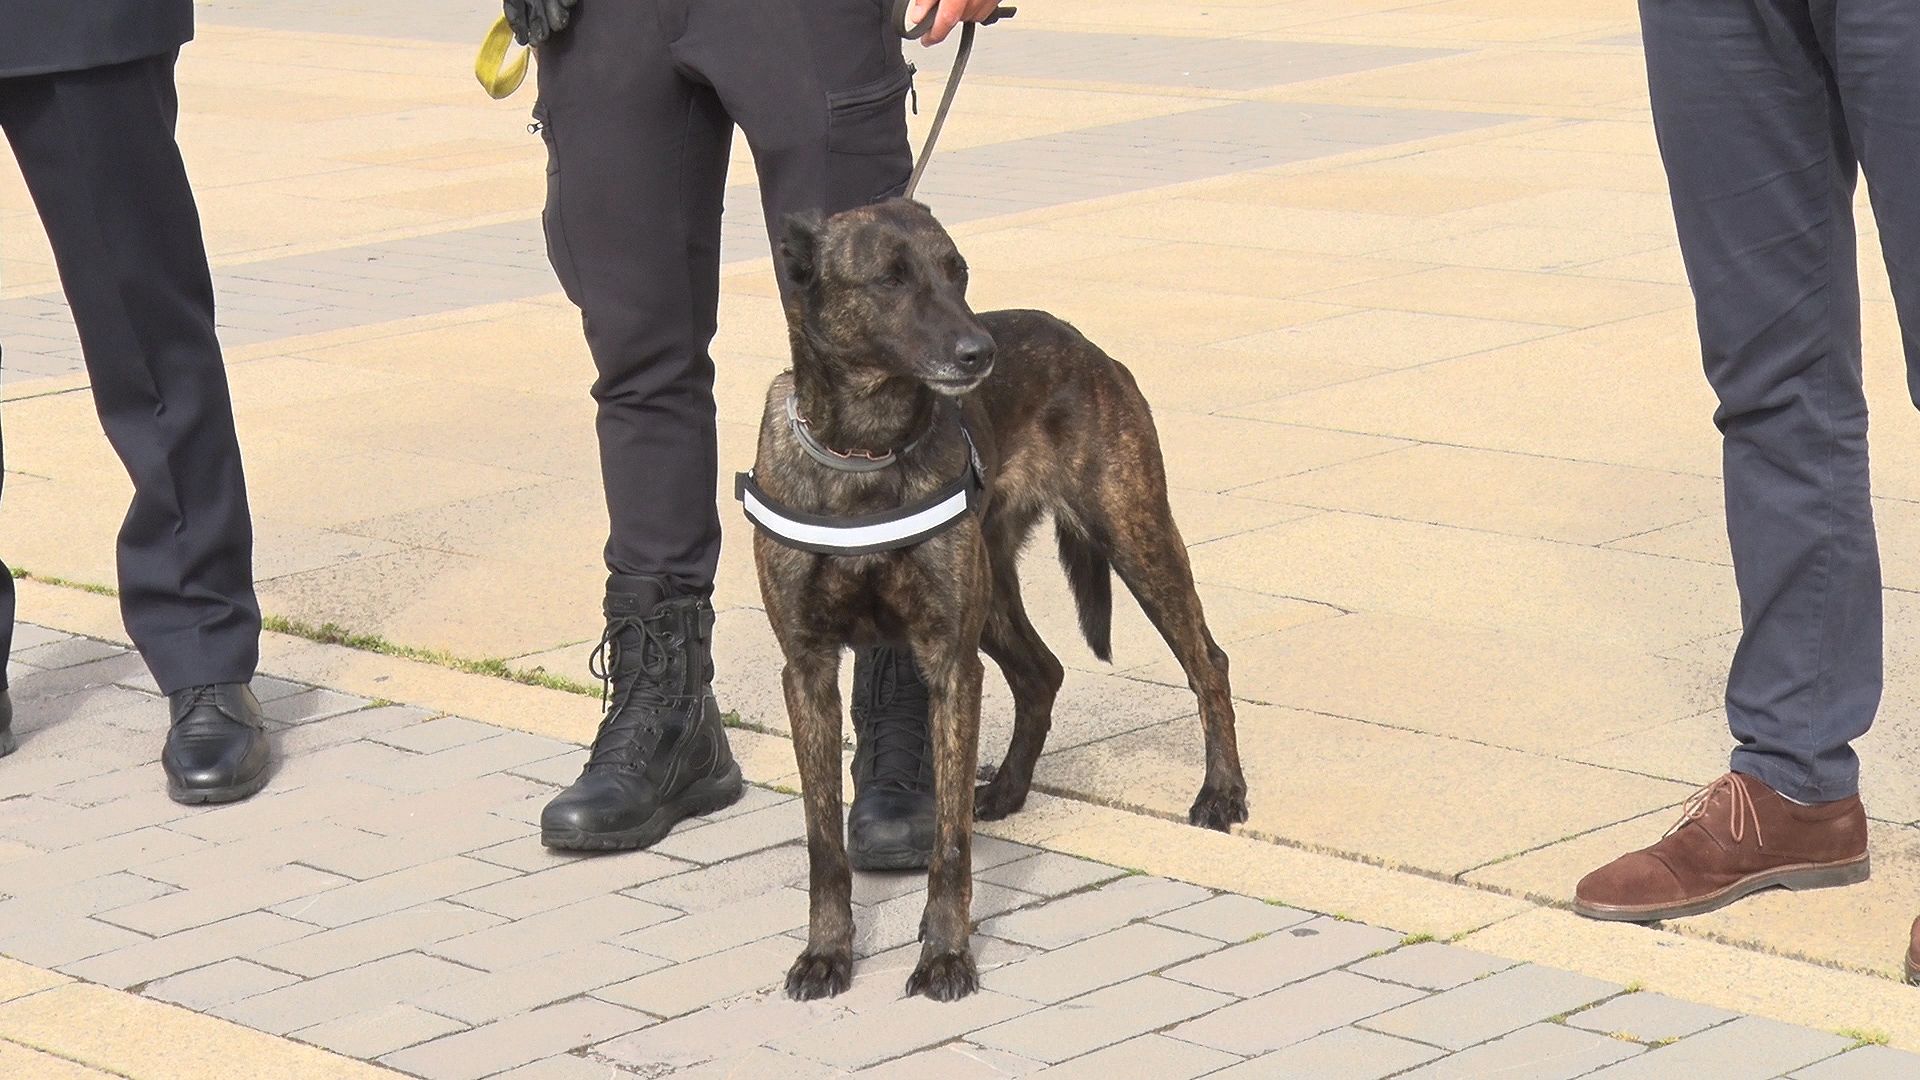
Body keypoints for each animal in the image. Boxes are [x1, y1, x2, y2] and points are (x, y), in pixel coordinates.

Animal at [748, 197, 1244, 999]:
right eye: (890, 278)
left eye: (957, 270)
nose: (978, 353)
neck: (865, 452)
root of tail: (1082, 342)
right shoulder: (808, 669)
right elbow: (824, 841)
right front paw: (826, 952)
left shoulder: (951, 664)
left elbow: (949, 841)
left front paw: (946, 954)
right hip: (997, 597)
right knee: (1042, 671)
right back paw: (1010, 788)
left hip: (1135, 537)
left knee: (1208, 662)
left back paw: (1222, 792)